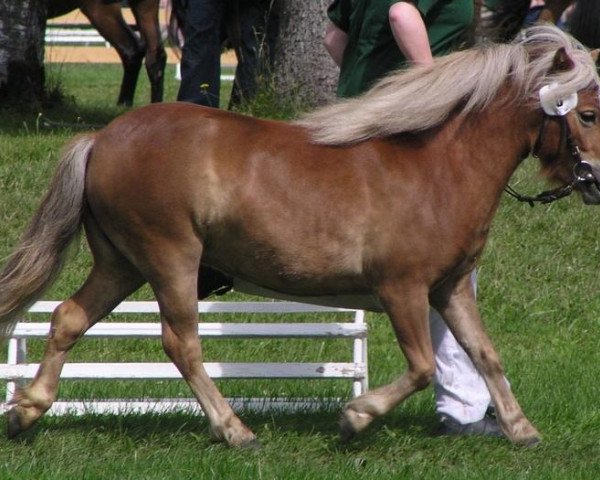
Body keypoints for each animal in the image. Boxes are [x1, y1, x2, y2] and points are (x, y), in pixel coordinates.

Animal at [3, 25, 600, 446]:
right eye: (589, 114)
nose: (595, 181)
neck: (437, 166)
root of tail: (102, 137)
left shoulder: (449, 288)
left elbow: (484, 353)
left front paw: (520, 429)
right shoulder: (402, 289)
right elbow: (423, 367)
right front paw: (356, 416)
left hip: (121, 264)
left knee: (68, 317)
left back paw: (27, 409)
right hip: (169, 259)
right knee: (181, 342)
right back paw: (234, 430)